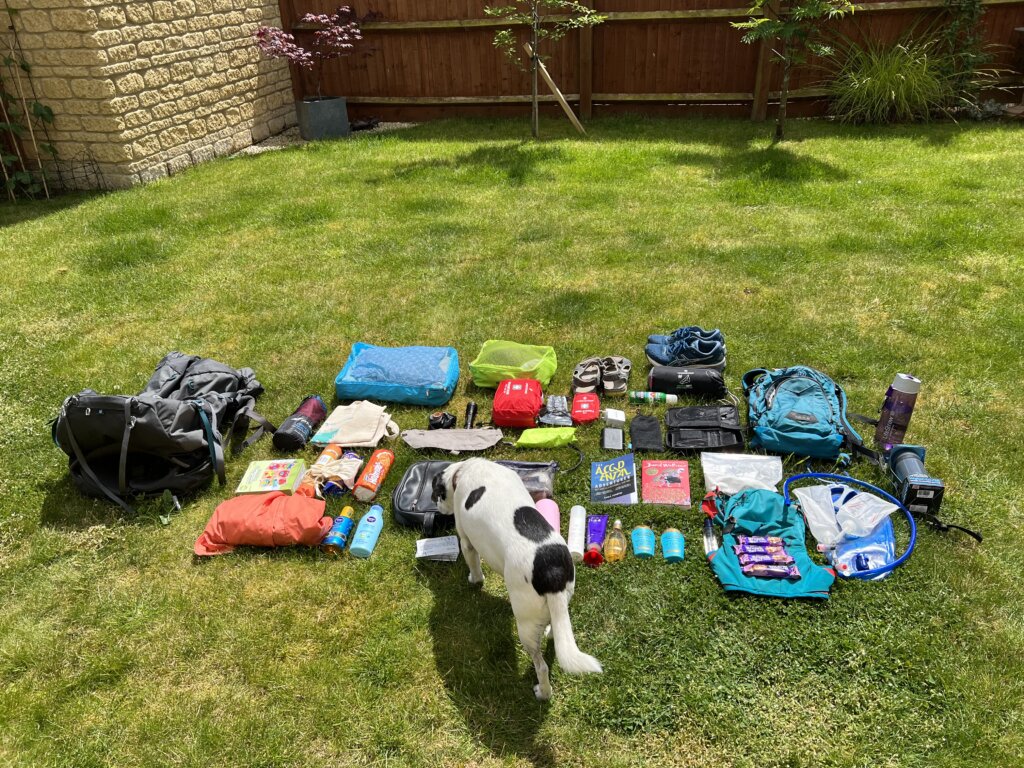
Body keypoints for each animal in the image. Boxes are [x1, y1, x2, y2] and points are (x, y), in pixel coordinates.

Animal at [430, 460, 598, 700]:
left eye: (437, 494)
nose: (436, 507)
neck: (465, 470)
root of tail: (551, 572)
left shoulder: (467, 542)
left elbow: (475, 568)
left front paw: (474, 580)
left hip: (524, 625)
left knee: (541, 666)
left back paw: (543, 692)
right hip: (561, 600)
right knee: (555, 629)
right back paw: (550, 632)